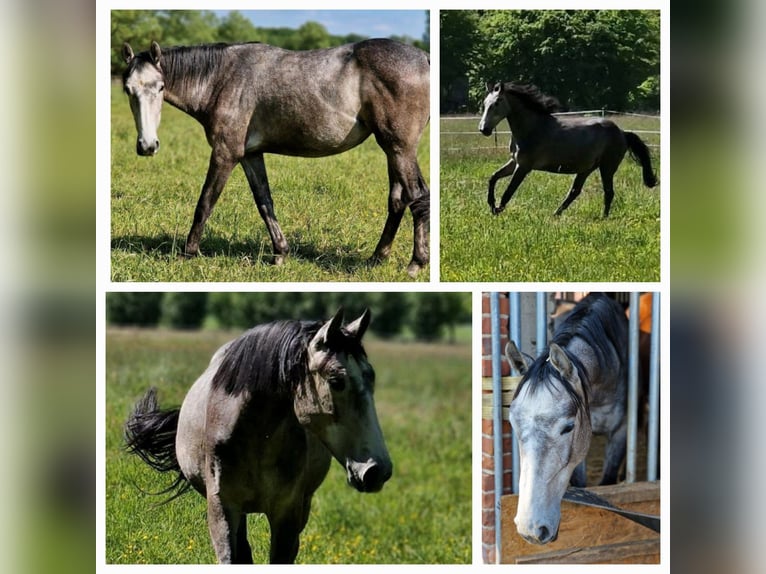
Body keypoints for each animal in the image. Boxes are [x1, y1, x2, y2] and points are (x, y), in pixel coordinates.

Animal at [121, 39, 432, 278]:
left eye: (160, 87)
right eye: (128, 89)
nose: (147, 145)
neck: (222, 79)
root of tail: (425, 58)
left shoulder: (225, 153)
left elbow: (205, 203)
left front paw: (187, 253)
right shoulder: (250, 155)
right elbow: (264, 202)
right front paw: (280, 253)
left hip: (399, 148)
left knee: (418, 197)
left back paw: (415, 264)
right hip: (391, 149)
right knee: (398, 201)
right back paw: (377, 257)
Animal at [125, 308, 392, 564]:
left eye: (371, 377)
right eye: (336, 381)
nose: (377, 471)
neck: (254, 438)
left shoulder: (287, 513)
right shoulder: (222, 507)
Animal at [476, 84, 656, 219]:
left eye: (497, 103)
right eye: (485, 103)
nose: (484, 129)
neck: (532, 128)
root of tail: (623, 133)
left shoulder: (524, 167)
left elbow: (508, 191)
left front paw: (497, 210)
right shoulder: (515, 162)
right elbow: (493, 178)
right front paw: (491, 205)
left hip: (607, 167)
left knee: (608, 192)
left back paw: (603, 218)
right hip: (586, 169)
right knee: (575, 191)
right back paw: (556, 214)